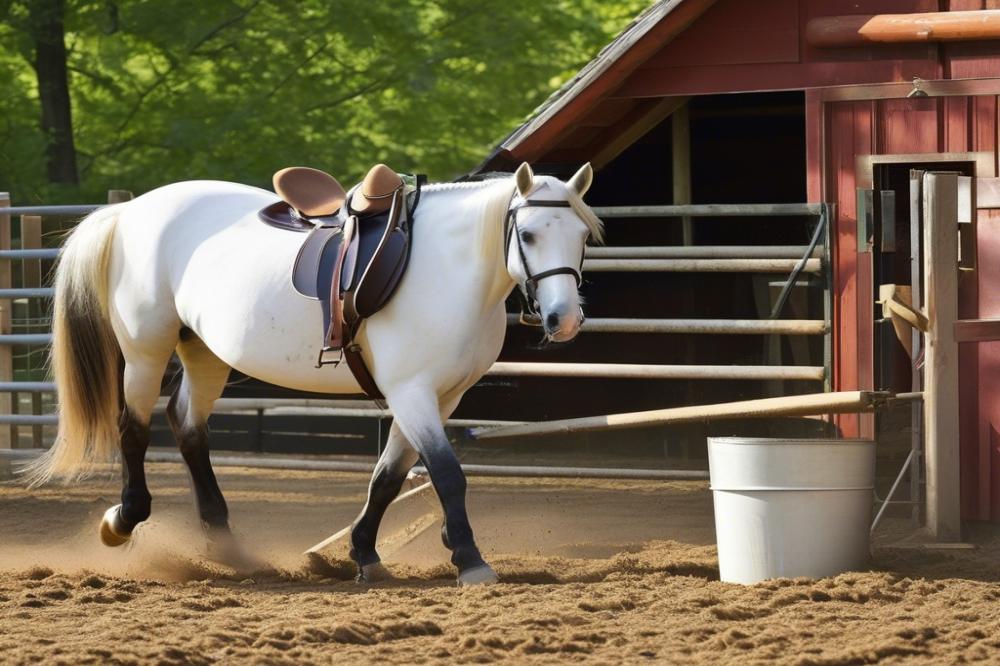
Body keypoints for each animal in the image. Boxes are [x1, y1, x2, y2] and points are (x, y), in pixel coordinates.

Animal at [29, 161, 600, 580]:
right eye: (528, 234)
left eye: (582, 236)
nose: (564, 319)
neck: (446, 269)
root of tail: (129, 212)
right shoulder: (412, 392)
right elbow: (446, 474)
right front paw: (469, 558)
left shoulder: (440, 398)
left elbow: (388, 478)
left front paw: (364, 554)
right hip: (146, 350)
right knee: (134, 428)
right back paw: (123, 521)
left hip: (205, 353)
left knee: (188, 427)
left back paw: (226, 544)